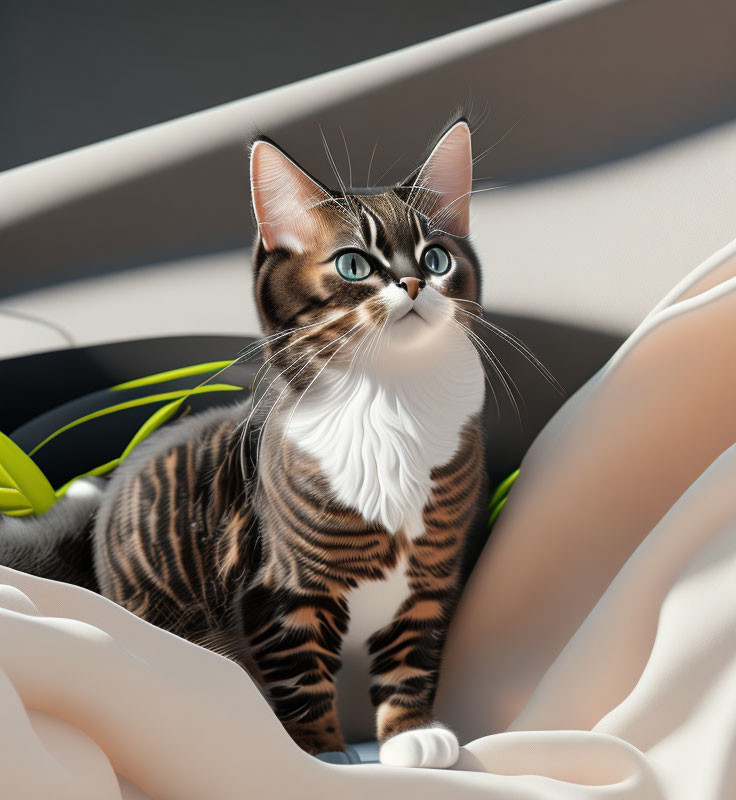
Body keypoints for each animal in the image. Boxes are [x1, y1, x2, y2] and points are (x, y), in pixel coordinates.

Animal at [2, 120, 492, 768]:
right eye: (354, 265)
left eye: (437, 259)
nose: (414, 283)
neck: (390, 409)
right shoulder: (278, 587)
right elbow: (299, 674)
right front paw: (323, 755)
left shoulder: (431, 575)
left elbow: (413, 651)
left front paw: (410, 732)